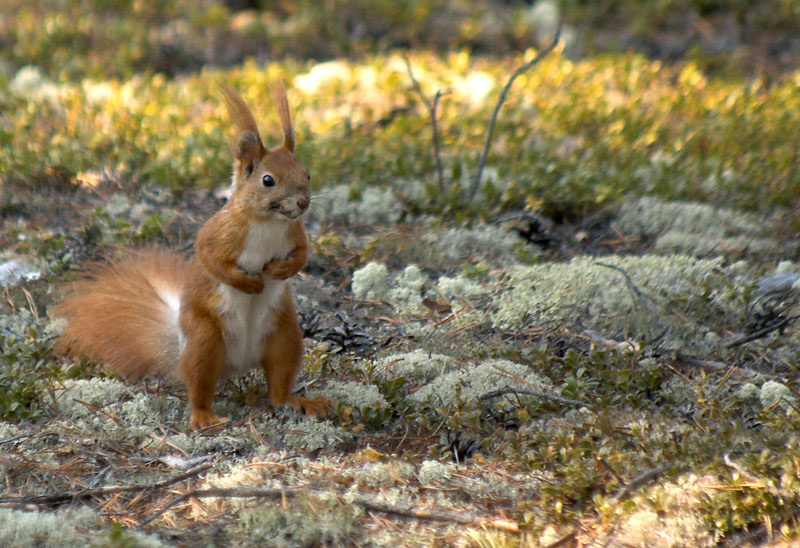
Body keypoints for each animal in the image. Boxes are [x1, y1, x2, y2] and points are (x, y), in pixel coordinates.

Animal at [54, 83, 331, 430]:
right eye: (268, 180)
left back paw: (301, 402)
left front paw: (282, 270)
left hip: (285, 335)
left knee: (278, 386)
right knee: (198, 385)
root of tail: (237, 363)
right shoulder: (217, 234)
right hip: (204, 340)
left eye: (306, 174)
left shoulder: (296, 234)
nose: (303, 203)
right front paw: (248, 284)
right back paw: (205, 417)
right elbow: (210, 259)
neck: (270, 223)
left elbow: (303, 256)